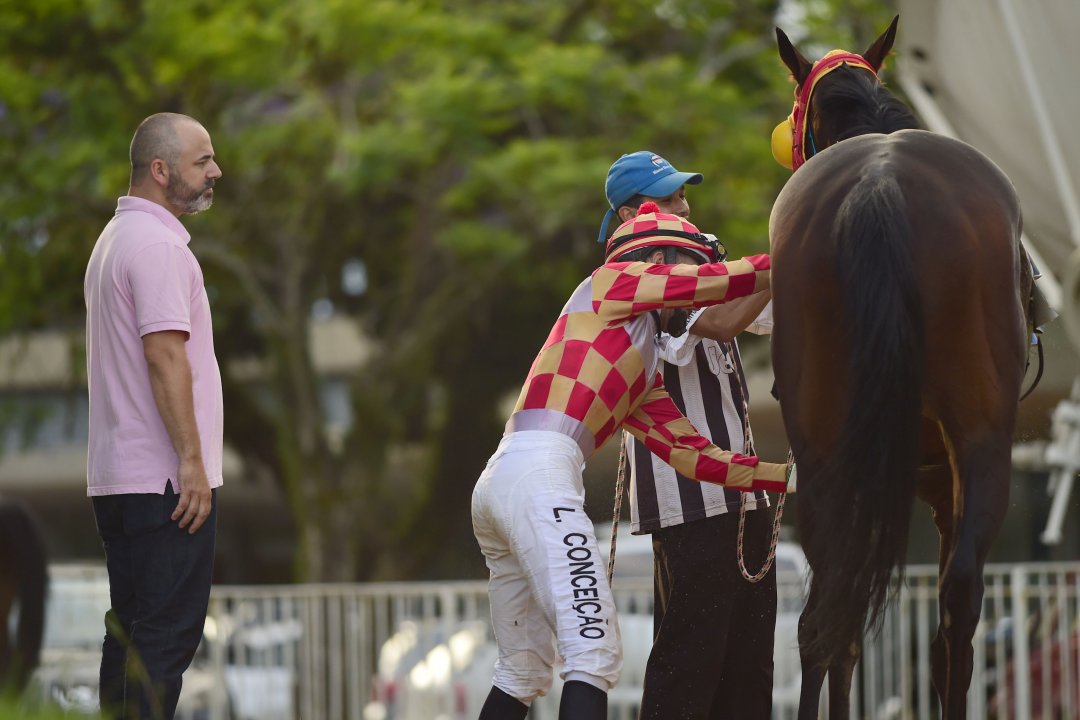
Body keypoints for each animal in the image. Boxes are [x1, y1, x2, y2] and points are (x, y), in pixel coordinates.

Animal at [768, 16, 1034, 719]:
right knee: (958, 599)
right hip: (980, 439)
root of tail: (879, 183)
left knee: (828, 608)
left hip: (824, 450)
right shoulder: (942, 482)